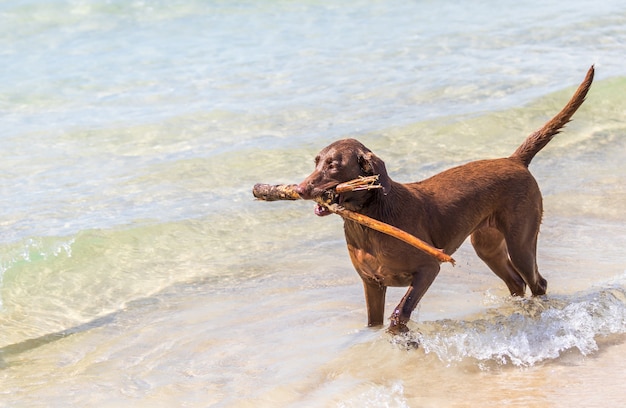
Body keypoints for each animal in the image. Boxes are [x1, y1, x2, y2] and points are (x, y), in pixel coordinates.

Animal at [294, 67, 592, 334]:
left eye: (333, 166)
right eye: (316, 161)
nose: (300, 188)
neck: (368, 222)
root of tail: (514, 160)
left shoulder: (429, 268)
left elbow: (400, 311)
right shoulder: (372, 283)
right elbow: (373, 322)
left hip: (521, 240)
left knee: (537, 282)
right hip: (487, 245)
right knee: (516, 282)